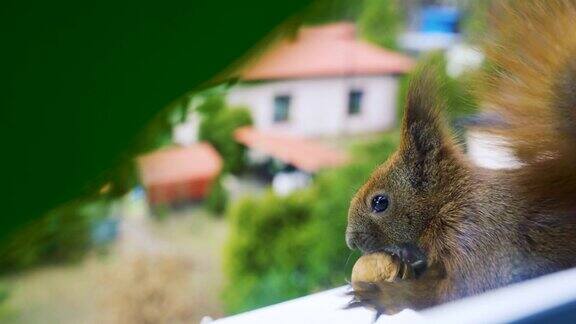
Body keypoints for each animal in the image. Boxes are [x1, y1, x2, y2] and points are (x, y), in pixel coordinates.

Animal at [344, 0, 576, 316]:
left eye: (380, 202)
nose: (350, 241)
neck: (450, 200)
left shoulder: (476, 235)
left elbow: (455, 292)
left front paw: (384, 294)